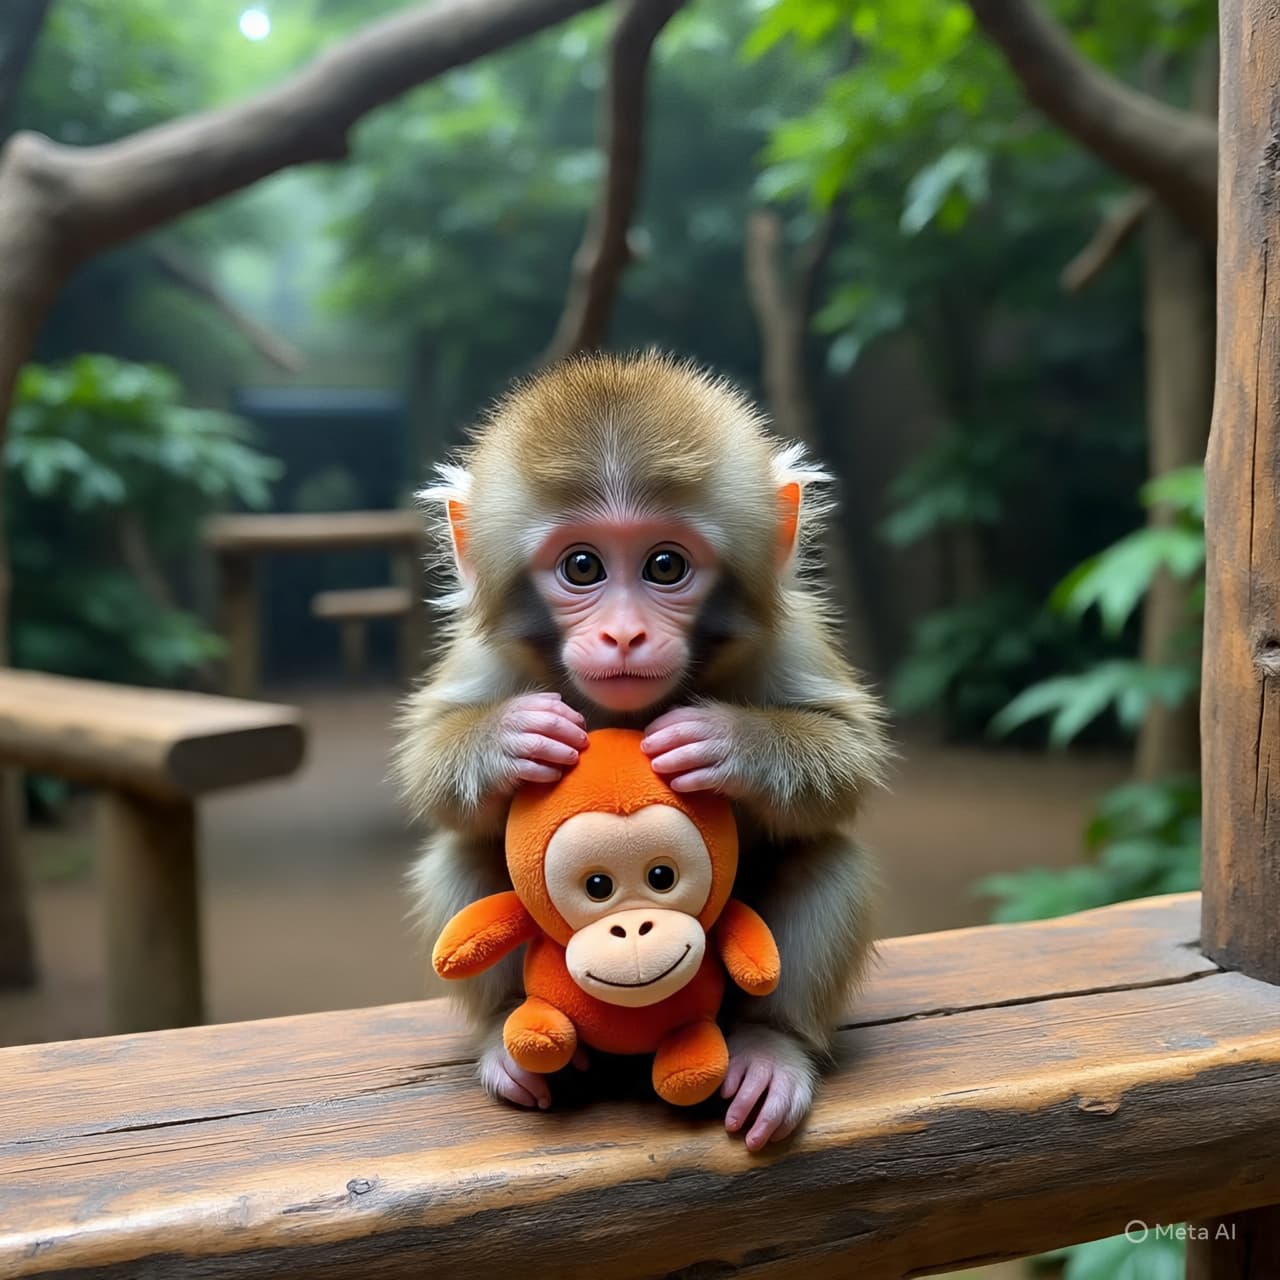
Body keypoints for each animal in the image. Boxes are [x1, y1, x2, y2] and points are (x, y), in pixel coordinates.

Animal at [394, 350, 889, 1151]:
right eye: (583, 567)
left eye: (664, 566)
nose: (623, 635)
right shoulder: (488, 653)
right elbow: (429, 762)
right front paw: (511, 739)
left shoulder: (787, 635)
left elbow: (847, 755)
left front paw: (726, 742)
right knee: (459, 851)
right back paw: (509, 1042)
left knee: (826, 856)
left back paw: (772, 1046)